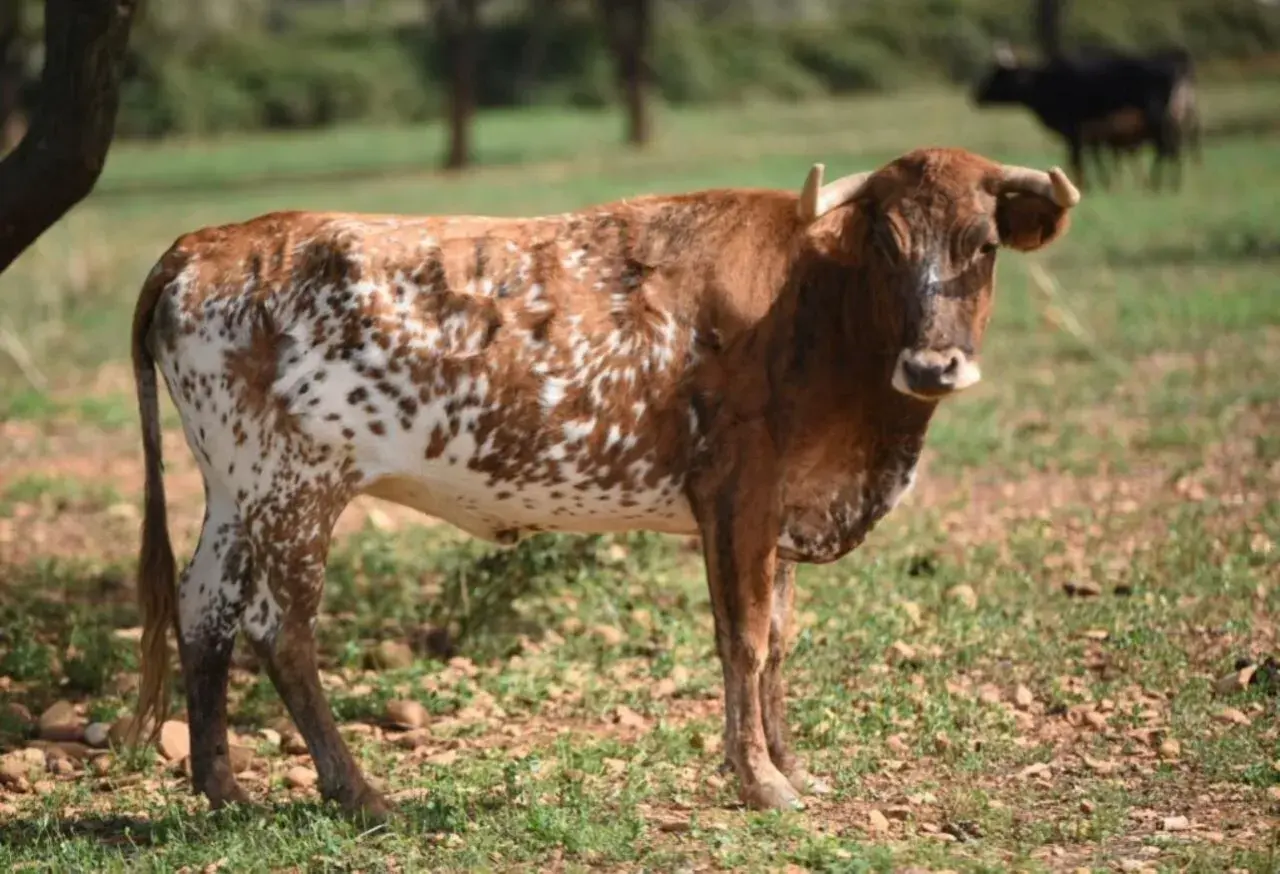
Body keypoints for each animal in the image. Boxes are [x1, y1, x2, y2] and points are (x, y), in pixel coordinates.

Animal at [126, 147, 1080, 822]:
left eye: (984, 245)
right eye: (887, 244)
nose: (932, 365)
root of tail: (203, 243)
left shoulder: (781, 509)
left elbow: (779, 640)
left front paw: (790, 763)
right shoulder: (736, 492)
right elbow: (745, 639)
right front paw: (760, 782)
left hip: (235, 488)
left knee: (206, 608)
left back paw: (222, 787)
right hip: (297, 486)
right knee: (280, 629)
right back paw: (360, 793)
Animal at [972, 43, 1197, 191]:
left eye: (999, 74)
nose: (976, 95)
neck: (1044, 82)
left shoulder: (1075, 132)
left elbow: (1077, 160)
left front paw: (1082, 186)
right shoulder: (1088, 137)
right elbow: (1084, 160)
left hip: (1159, 121)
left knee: (1167, 150)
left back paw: (1157, 184)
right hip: (1169, 124)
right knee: (1173, 150)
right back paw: (1171, 185)